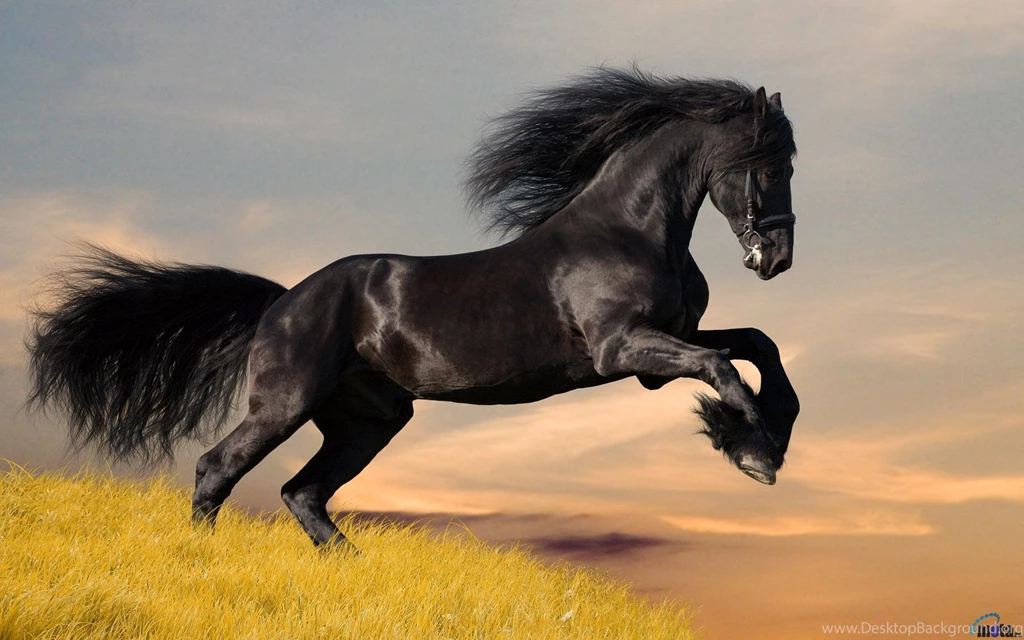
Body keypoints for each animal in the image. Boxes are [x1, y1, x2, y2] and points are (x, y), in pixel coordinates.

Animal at [27, 67, 800, 550]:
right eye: (768, 163)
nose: (777, 258)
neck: (629, 229)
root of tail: (283, 301)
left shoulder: (661, 347)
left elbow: (756, 344)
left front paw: (764, 437)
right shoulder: (623, 350)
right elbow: (723, 368)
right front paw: (751, 449)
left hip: (369, 420)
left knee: (303, 492)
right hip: (285, 403)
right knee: (218, 469)